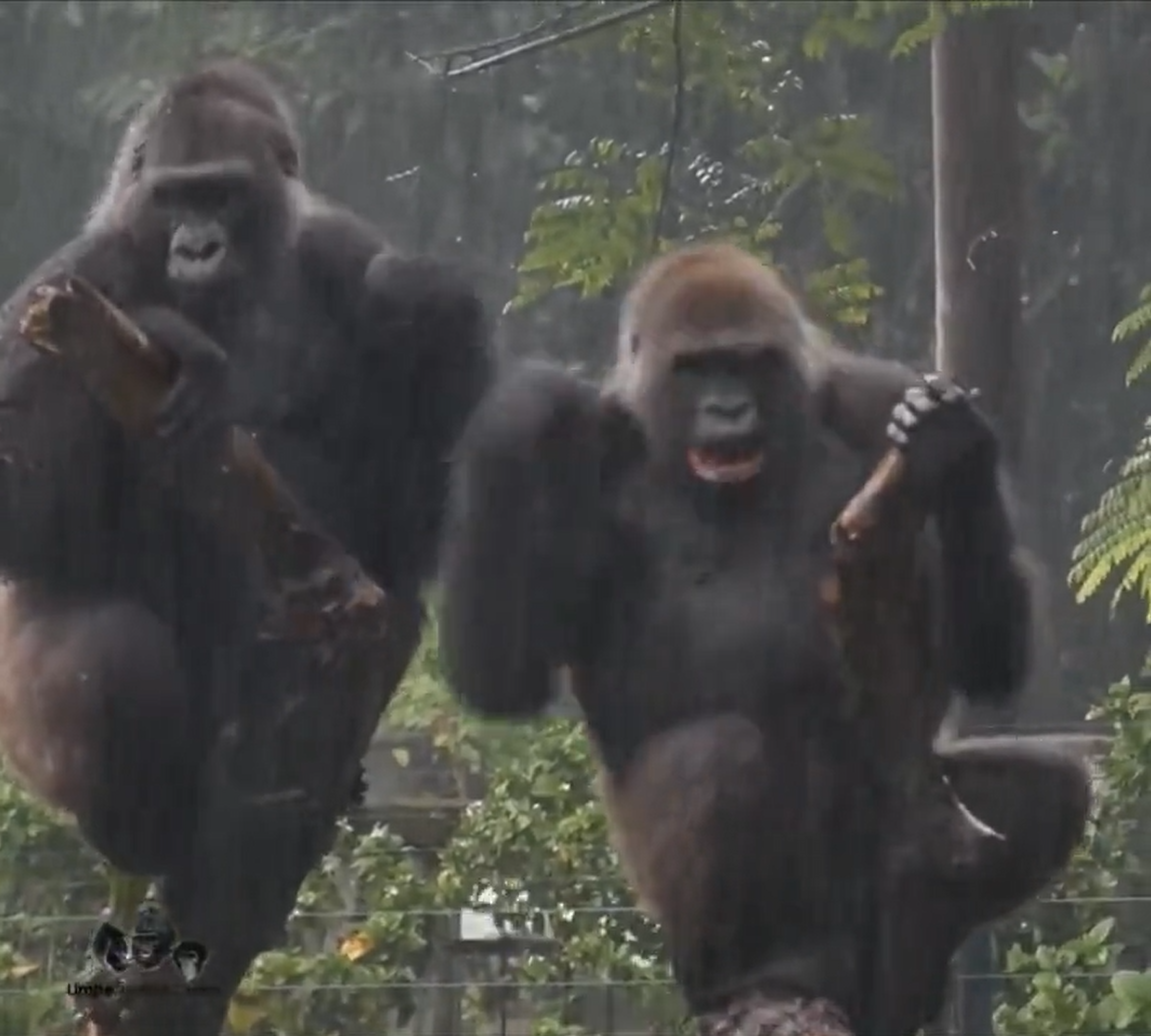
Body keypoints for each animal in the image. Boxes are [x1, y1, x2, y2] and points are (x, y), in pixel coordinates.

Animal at [0, 58, 490, 985]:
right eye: (176, 197)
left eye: (223, 196)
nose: (198, 247)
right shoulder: (77, 272)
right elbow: (28, 502)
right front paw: (169, 333)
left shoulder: (340, 246)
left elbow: (421, 321)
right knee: (108, 654)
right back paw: (138, 835)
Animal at [437, 240, 1086, 1036]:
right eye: (697, 368)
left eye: (747, 363)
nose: (727, 408)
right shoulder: (585, 450)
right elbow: (503, 676)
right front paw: (522, 411)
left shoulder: (874, 395)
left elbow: (987, 660)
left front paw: (957, 451)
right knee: (719, 757)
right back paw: (741, 975)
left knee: (1046, 790)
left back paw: (911, 953)